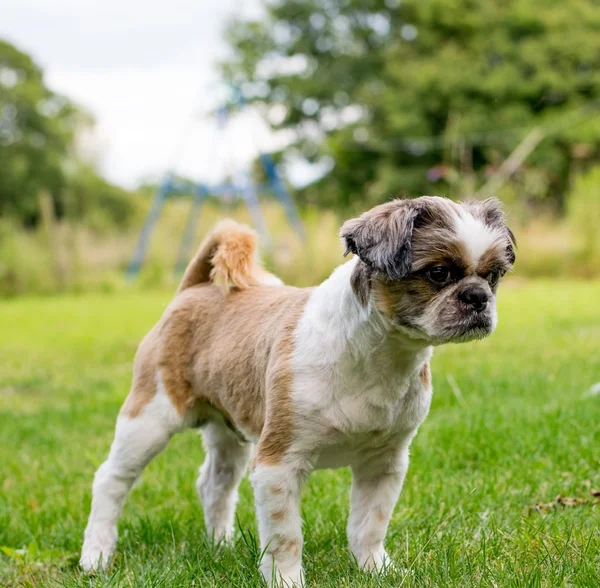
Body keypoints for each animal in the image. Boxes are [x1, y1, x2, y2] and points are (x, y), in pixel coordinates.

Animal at [81, 196, 516, 584]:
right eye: (439, 273)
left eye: (494, 276)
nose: (478, 297)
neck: (378, 357)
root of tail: (193, 289)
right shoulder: (278, 465)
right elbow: (285, 538)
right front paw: (286, 579)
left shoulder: (384, 463)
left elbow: (369, 525)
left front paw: (376, 569)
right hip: (150, 418)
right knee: (111, 481)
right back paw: (96, 555)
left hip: (228, 432)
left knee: (214, 484)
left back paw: (220, 545)